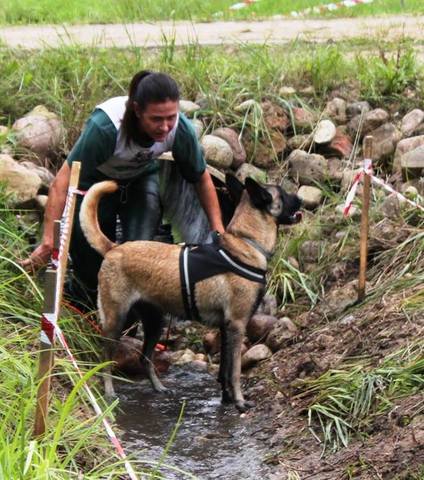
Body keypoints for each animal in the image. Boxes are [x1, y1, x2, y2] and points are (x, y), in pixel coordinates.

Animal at [79, 176, 302, 412]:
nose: (301, 199)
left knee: (145, 358)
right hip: (116, 321)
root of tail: (114, 247)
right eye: (282, 194)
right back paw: (109, 393)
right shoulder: (237, 325)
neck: (246, 242)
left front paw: (227, 398)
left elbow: (224, 370)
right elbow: (234, 371)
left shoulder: (225, 328)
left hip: (155, 323)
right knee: (105, 359)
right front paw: (240, 401)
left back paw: (159, 387)